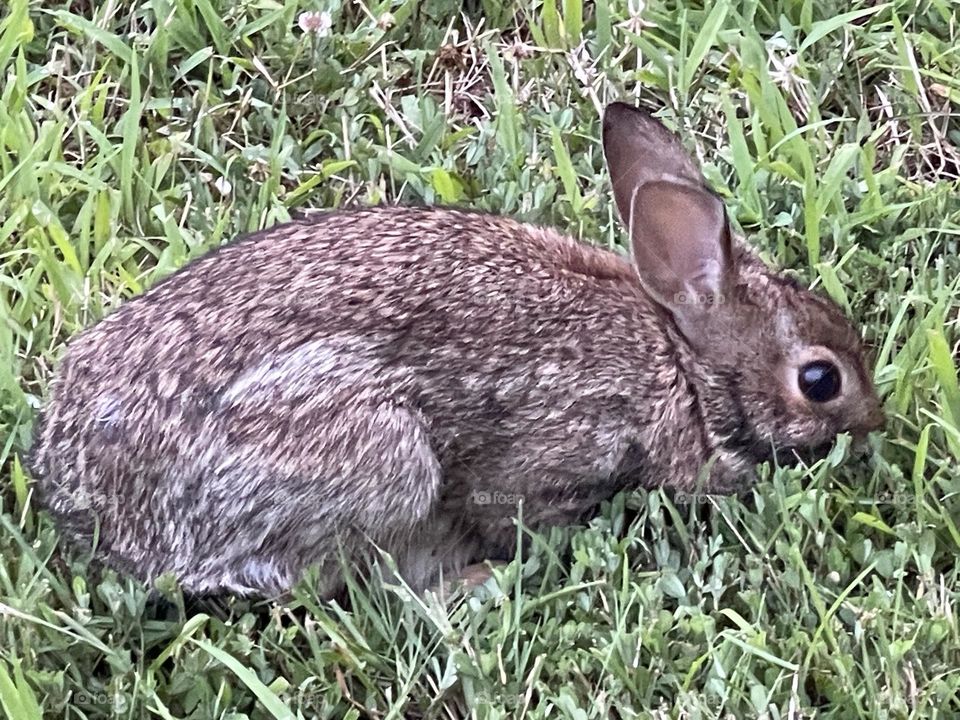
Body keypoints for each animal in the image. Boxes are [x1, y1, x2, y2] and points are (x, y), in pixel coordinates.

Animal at [28, 102, 884, 597]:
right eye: (820, 379)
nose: (877, 425)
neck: (684, 360)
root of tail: (85, 502)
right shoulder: (558, 449)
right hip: (379, 458)